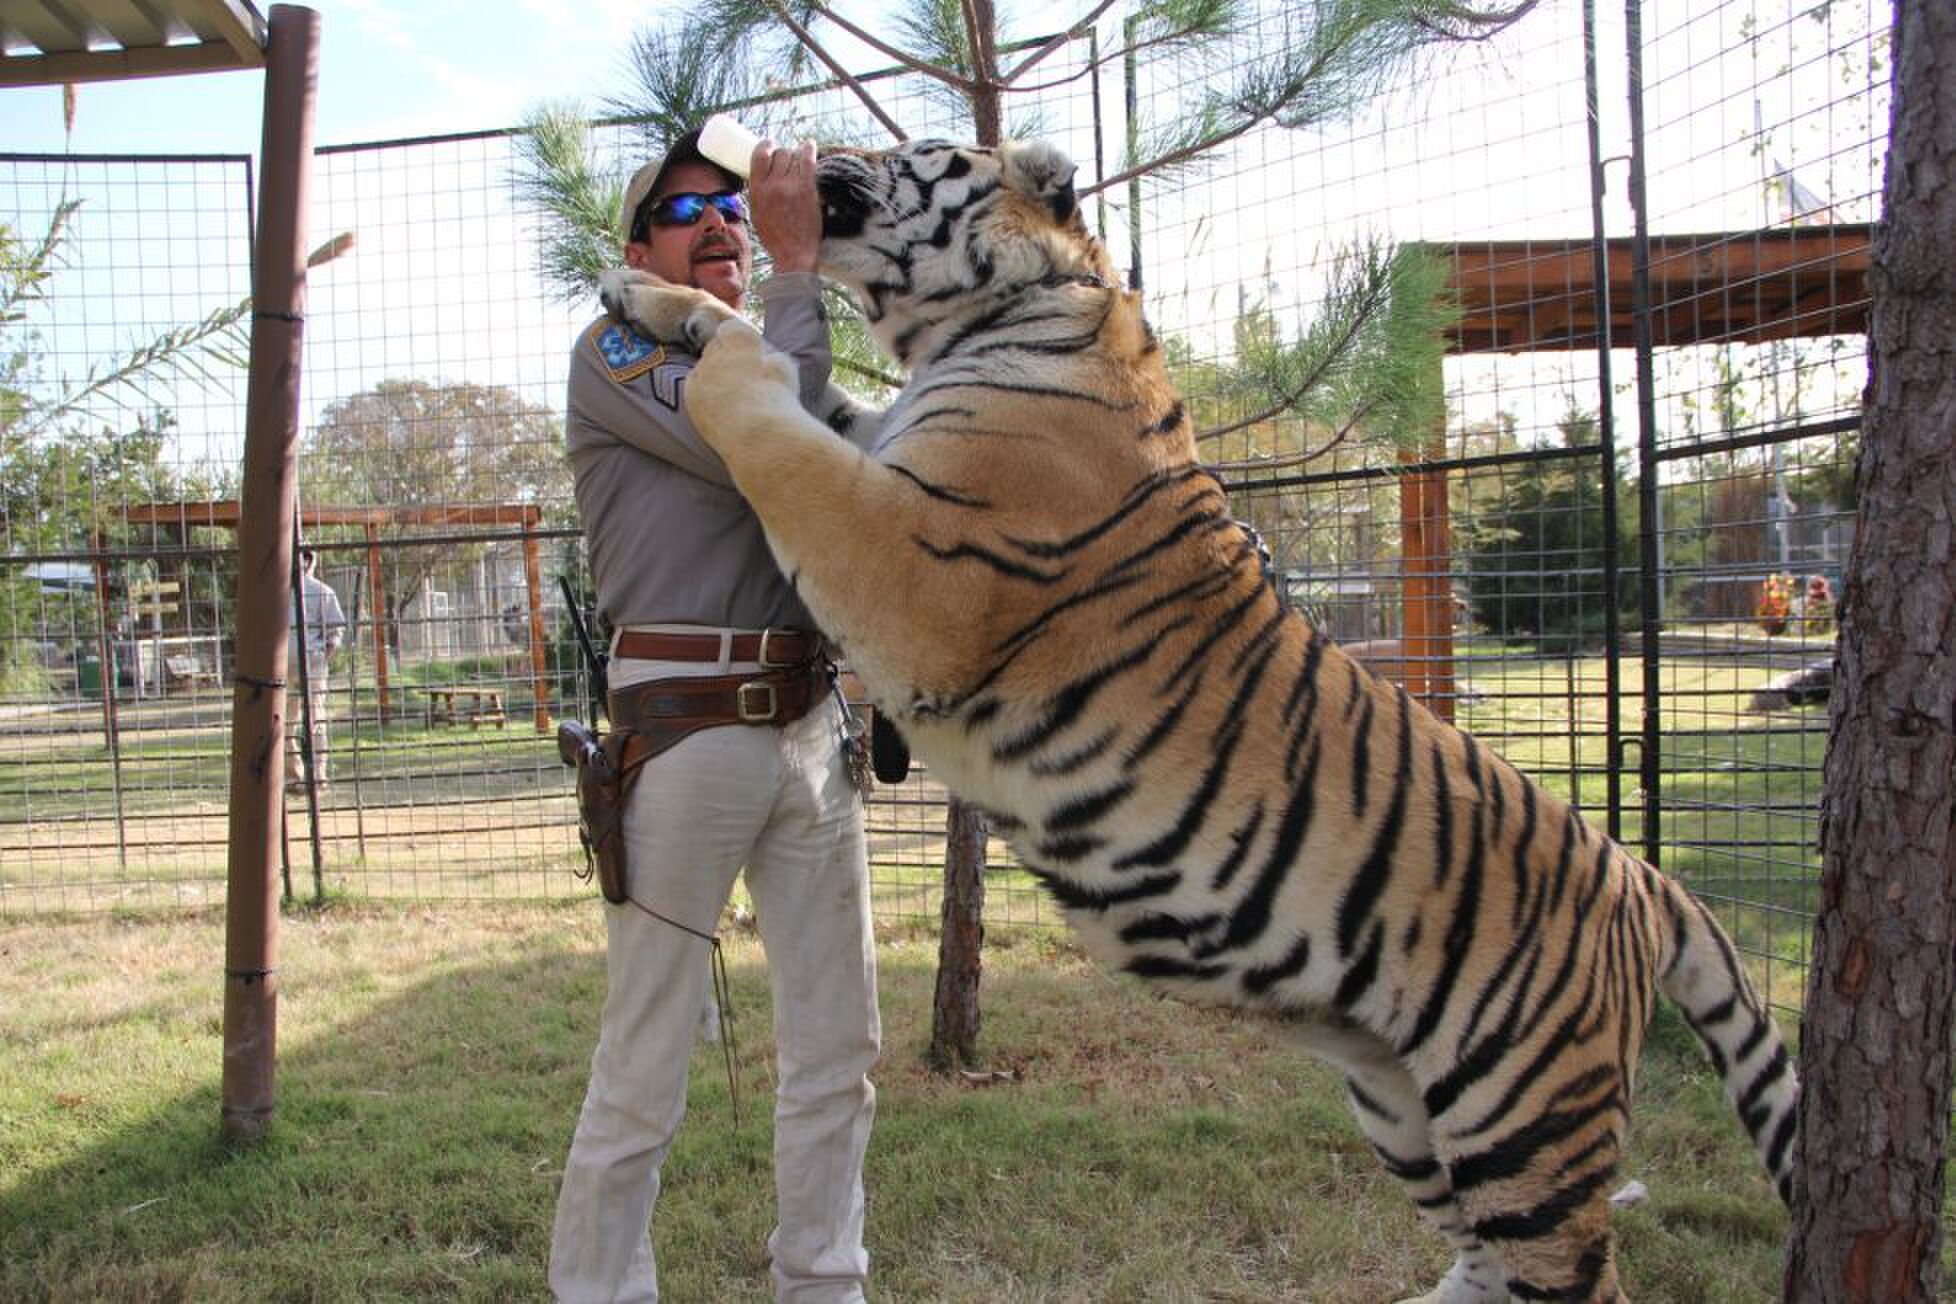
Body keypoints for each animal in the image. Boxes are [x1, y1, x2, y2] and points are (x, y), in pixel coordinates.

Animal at [597, 137, 1799, 1303]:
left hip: (1521, 1117)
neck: (985, 319)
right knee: (1482, 1259)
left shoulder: (905, 562)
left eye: (906, 148)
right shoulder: (879, 446)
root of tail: (1637, 874)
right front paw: (646, 292)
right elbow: (786, 370)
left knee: (1576, 1275)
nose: (799, 158)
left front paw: (705, 338)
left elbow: (763, 408)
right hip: (1403, 1101)